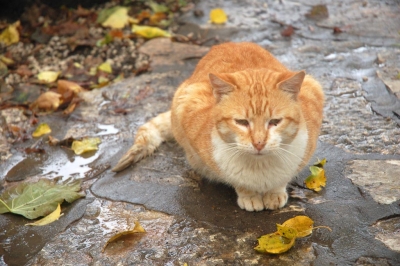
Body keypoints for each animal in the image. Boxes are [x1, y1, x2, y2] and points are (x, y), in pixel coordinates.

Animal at [111, 42, 324, 212]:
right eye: (242, 122)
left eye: (274, 122)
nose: (259, 143)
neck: (260, 166)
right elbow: (237, 181)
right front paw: (249, 195)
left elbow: (282, 179)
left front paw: (275, 192)